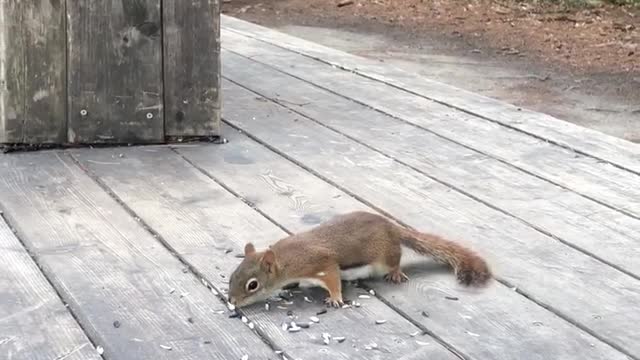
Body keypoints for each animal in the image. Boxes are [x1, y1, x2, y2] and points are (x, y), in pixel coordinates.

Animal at [228, 212, 492, 308]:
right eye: (232, 276)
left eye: (252, 285)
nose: (232, 301)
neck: (285, 261)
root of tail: (392, 228)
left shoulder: (320, 263)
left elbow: (333, 278)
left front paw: (335, 298)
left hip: (386, 256)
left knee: (395, 260)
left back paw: (395, 273)